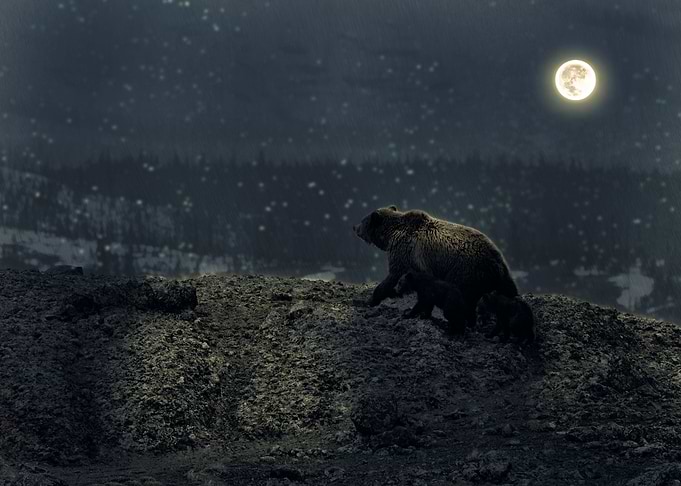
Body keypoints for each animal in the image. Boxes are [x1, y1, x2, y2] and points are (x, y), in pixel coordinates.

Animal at [352, 205, 518, 322]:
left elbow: (393, 276)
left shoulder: (404, 252)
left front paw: (368, 300)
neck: (390, 235)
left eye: (362, 221)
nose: (354, 227)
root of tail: (498, 263)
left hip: (466, 271)